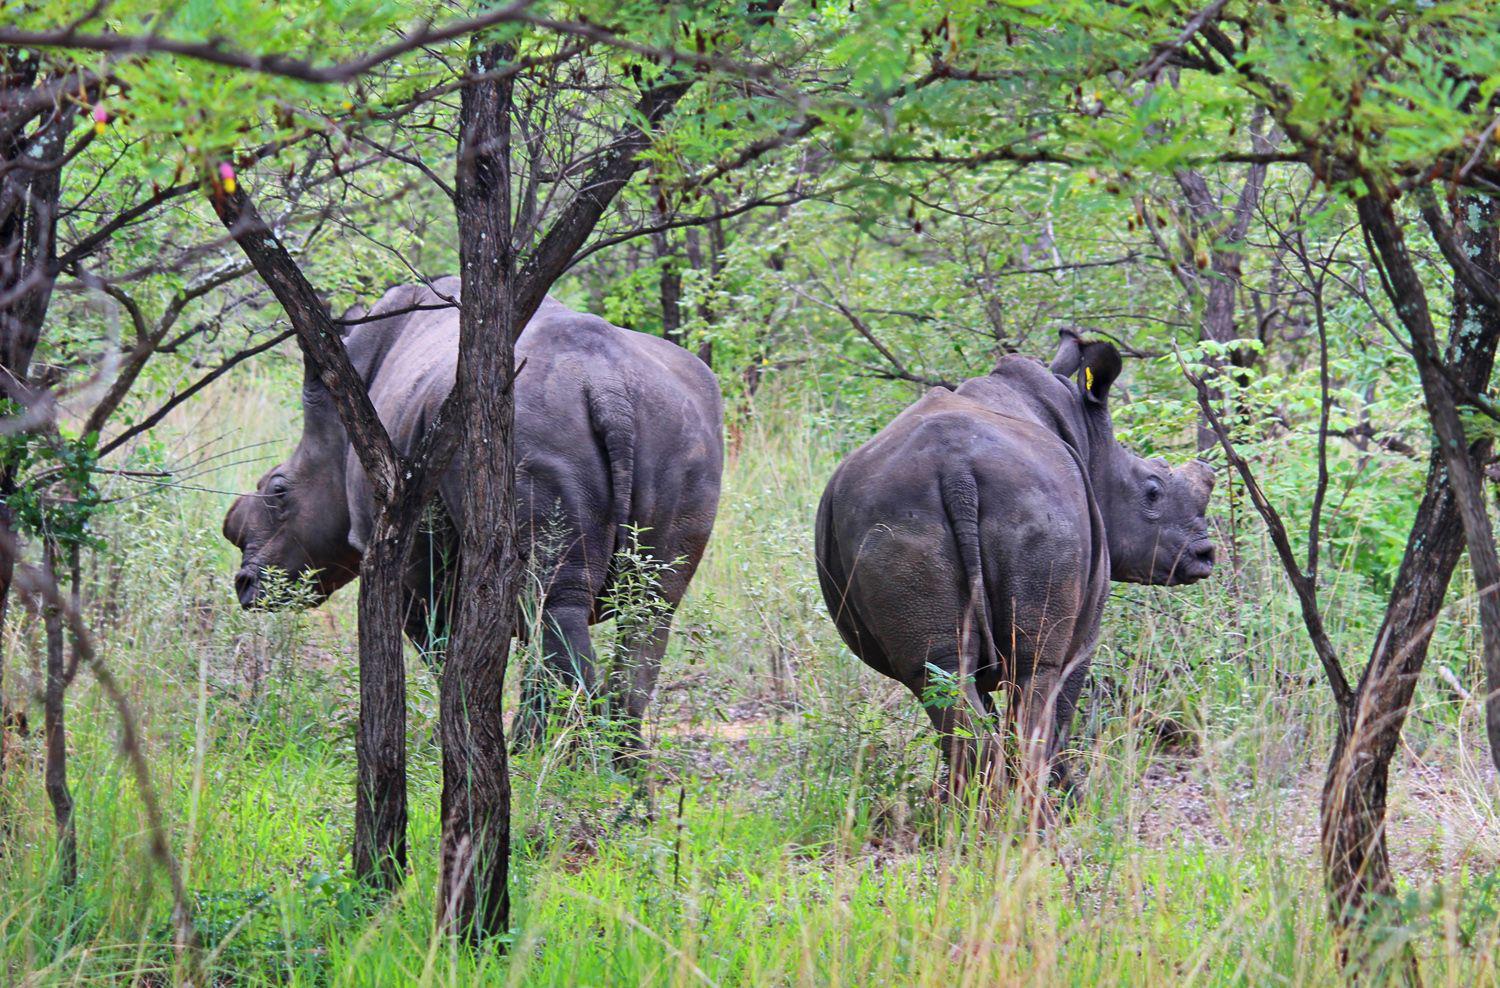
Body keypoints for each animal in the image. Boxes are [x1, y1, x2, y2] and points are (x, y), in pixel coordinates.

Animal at [222, 276, 724, 747]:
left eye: (278, 490)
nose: (245, 585)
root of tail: (606, 384)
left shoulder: (403, 558)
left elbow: (442, 648)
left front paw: (453, 729)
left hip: (532, 429)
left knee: (553, 602)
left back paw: (539, 753)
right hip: (679, 430)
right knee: (648, 608)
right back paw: (611, 763)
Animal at [814, 332, 1214, 794]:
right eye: (1153, 491)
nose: (1205, 555)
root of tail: (956, 471)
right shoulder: (1088, 622)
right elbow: (1065, 697)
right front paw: (1069, 795)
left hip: (895, 515)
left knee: (941, 674)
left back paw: (972, 808)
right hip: (1035, 506)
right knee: (1036, 671)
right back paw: (1031, 807)